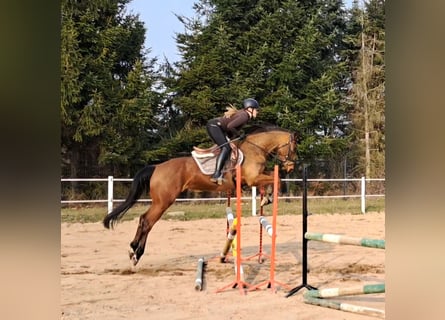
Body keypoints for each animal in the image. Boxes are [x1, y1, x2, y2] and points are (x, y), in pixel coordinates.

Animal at [103, 125, 296, 264]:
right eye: (293, 148)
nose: (291, 166)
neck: (255, 149)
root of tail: (156, 167)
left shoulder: (254, 178)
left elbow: (272, 176)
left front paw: (266, 197)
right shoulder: (252, 179)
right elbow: (276, 179)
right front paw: (268, 197)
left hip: (160, 201)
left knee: (145, 221)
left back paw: (135, 252)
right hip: (163, 201)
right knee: (146, 221)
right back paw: (135, 253)